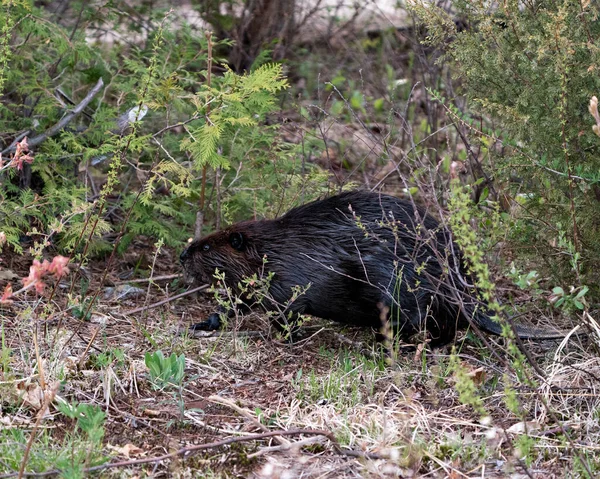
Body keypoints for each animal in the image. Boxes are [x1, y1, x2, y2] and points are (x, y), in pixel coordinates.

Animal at [182, 190, 564, 344]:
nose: (184, 255)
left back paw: (392, 343)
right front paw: (202, 323)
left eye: (206, 246)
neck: (276, 247)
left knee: (433, 325)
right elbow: (237, 304)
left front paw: (283, 337)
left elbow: (288, 311)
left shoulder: (288, 280)